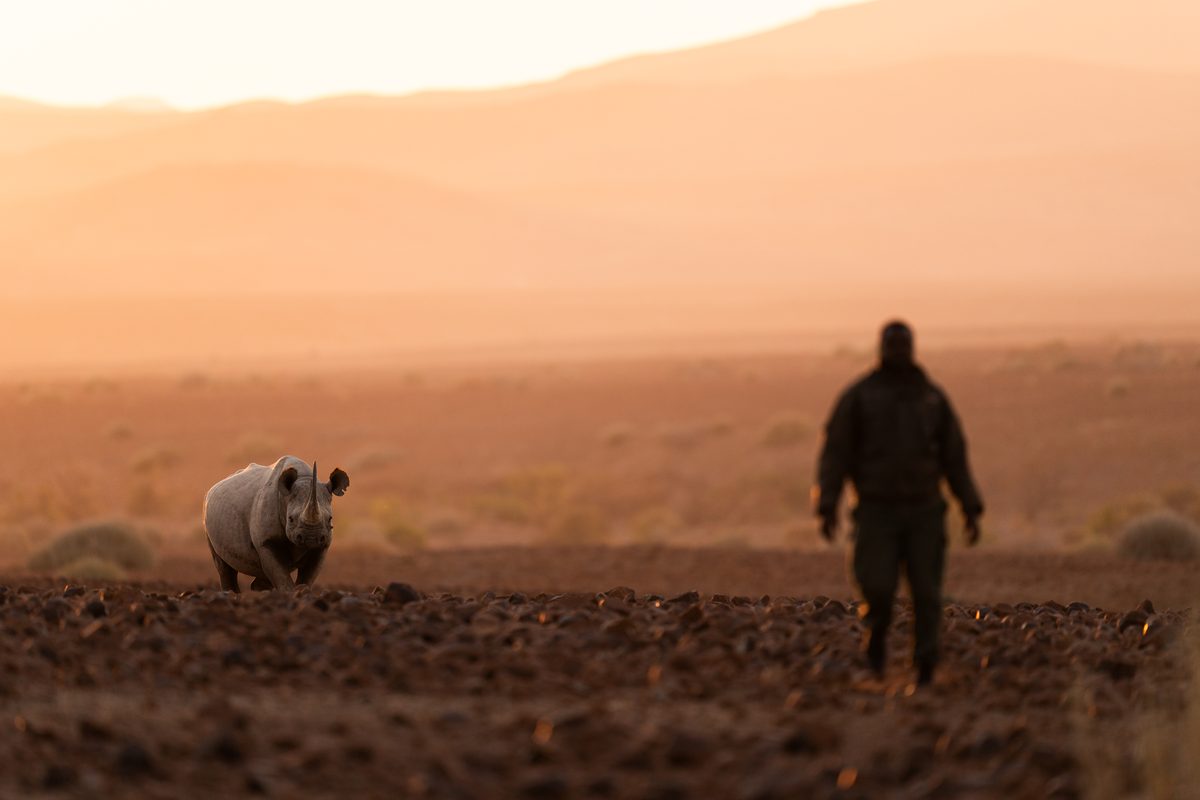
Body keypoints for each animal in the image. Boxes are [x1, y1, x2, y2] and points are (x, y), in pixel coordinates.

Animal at [203, 456, 350, 591]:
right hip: (207, 515)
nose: (311, 538)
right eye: (290, 519)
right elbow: (281, 577)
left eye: (330, 519)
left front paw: (302, 591)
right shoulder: (266, 542)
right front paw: (291, 593)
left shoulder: (322, 545)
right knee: (223, 567)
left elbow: (308, 576)